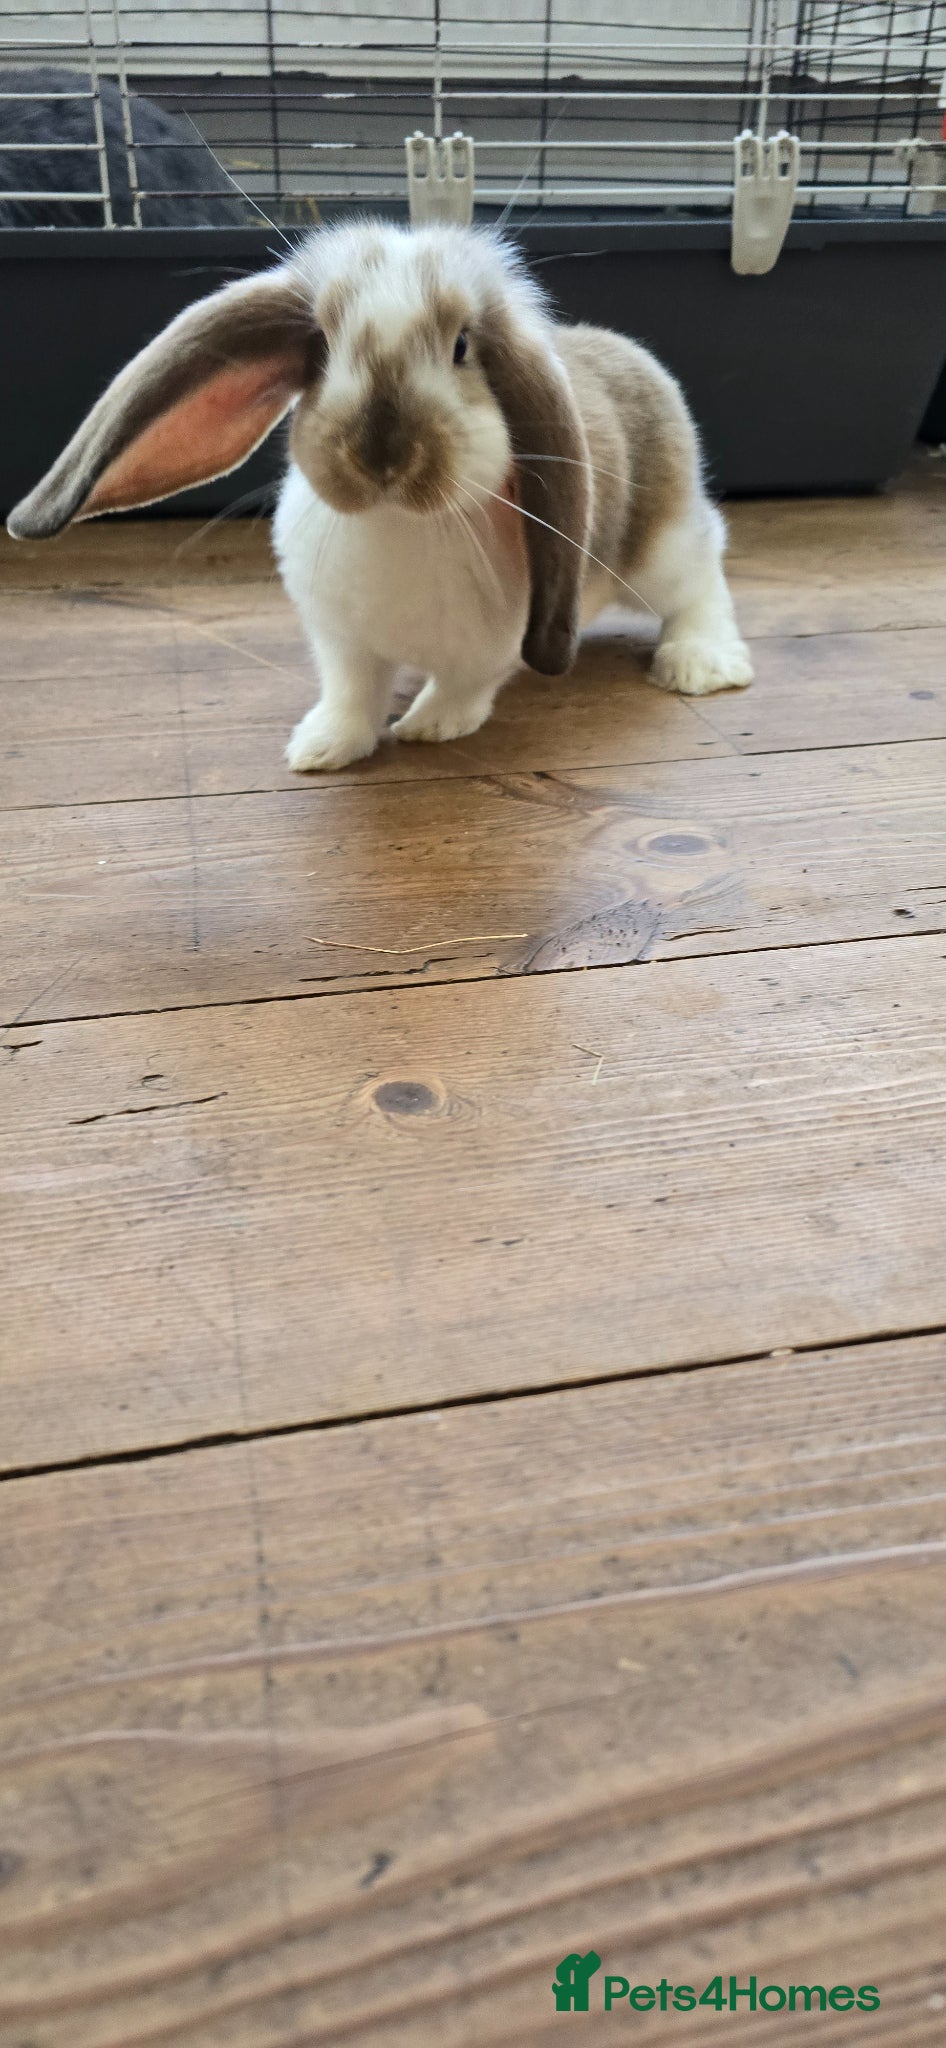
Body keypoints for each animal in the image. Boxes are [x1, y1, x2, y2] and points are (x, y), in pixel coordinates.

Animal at [6, 220, 752, 771]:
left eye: (462, 347)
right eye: (322, 346)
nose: (381, 456)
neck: (398, 523)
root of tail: (632, 353)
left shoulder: (493, 645)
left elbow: (465, 683)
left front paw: (430, 727)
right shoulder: (340, 642)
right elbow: (352, 693)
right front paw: (319, 748)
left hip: (660, 551)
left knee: (704, 574)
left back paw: (699, 662)